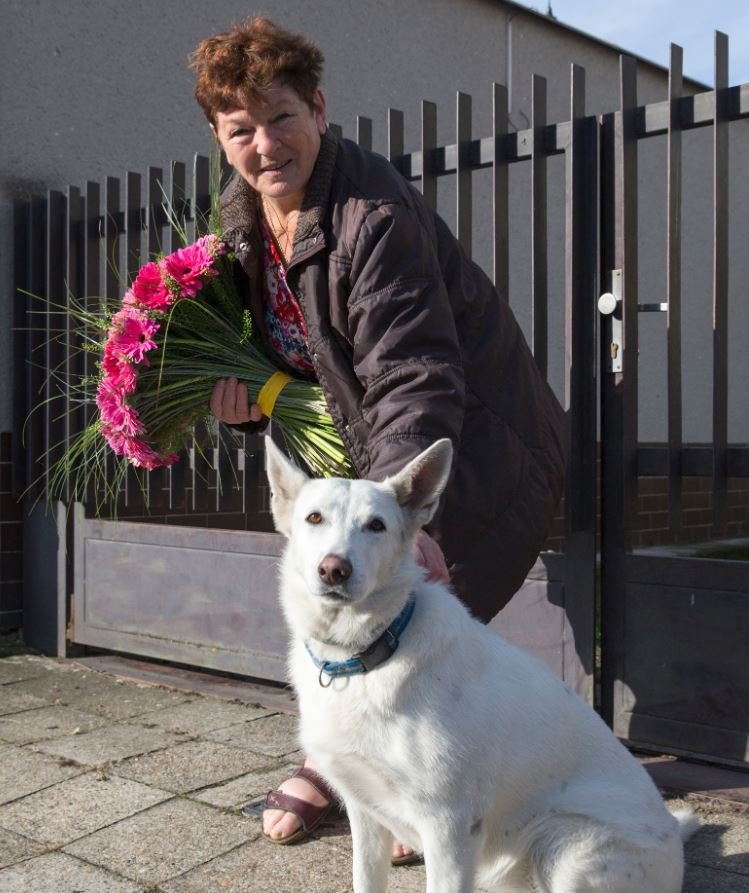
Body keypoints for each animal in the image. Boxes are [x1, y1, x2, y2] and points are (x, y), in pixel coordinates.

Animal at [266, 440, 700, 892]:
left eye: (376, 526)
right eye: (314, 518)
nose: (334, 569)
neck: (369, 652)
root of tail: (674, 838)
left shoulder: (449, 827)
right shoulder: (365, 812)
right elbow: (365, 879)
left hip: (566, 844)